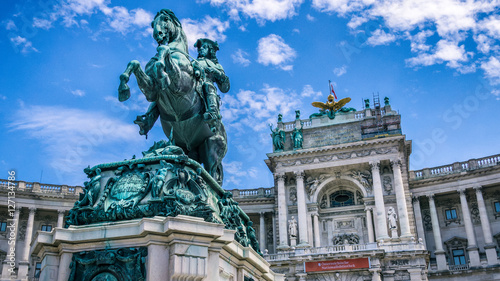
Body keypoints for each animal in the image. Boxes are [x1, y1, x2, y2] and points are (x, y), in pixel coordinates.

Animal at [117, 8, 227, 185]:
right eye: (152, 23)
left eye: (166, 19)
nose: (158, 35)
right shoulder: (151, 90)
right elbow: (135, 63)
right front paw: (123, 88)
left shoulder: (181, 84)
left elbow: (165, 52)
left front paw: (162, 70)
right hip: (189, 150)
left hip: (212, 147)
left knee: (212, 175)